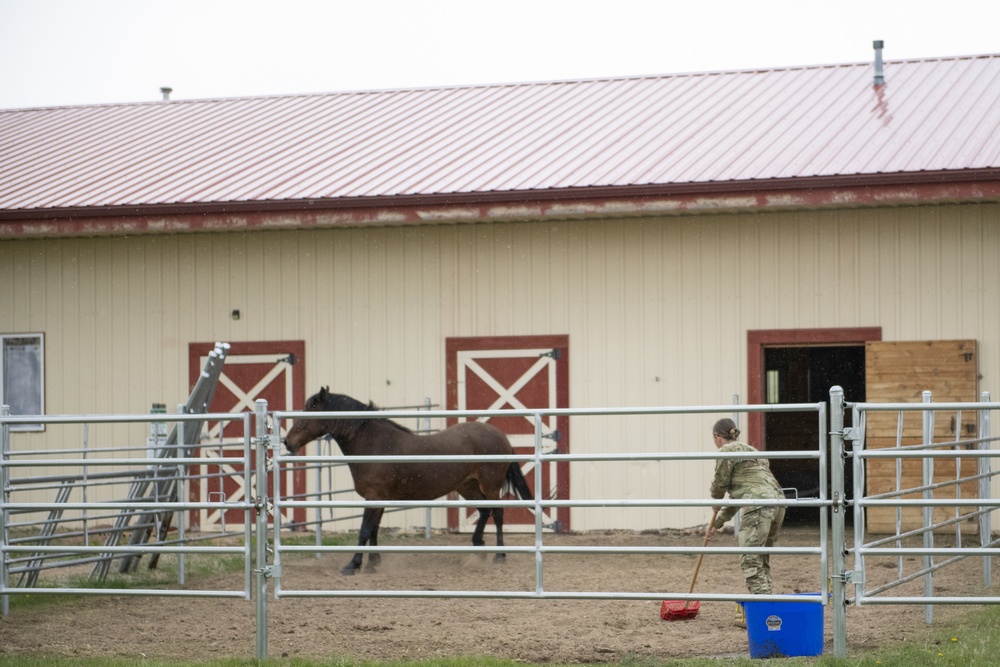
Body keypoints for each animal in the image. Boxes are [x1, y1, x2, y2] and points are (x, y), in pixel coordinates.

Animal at [284, 388, 532, 576]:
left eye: (310, 411)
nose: (287, 442)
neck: (374, 445)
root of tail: (500, 435)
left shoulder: (373, 497)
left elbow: (364, 531)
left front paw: (353, 565)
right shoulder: (378, 499)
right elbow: (374, 530)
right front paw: (373, 563)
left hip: (490, 485)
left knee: (497, 513)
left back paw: (499, 555)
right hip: (467, 486)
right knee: (483, 511)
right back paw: (479, 549)